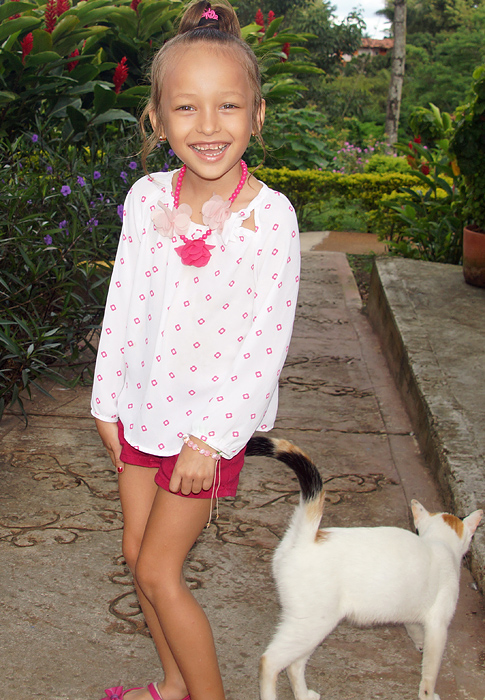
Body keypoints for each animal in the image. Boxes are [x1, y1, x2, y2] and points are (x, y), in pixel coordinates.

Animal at [246, 438, 480, 700]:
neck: (437, 542)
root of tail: (306, 537)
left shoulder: (413, 612)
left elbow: (416, 630)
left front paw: (419, 643)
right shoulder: (439, 624)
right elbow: (431, 668)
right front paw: (428, 693)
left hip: (311, 625)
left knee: (294, 664)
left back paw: (304, 695)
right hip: (313, 623)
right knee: (270, 661)